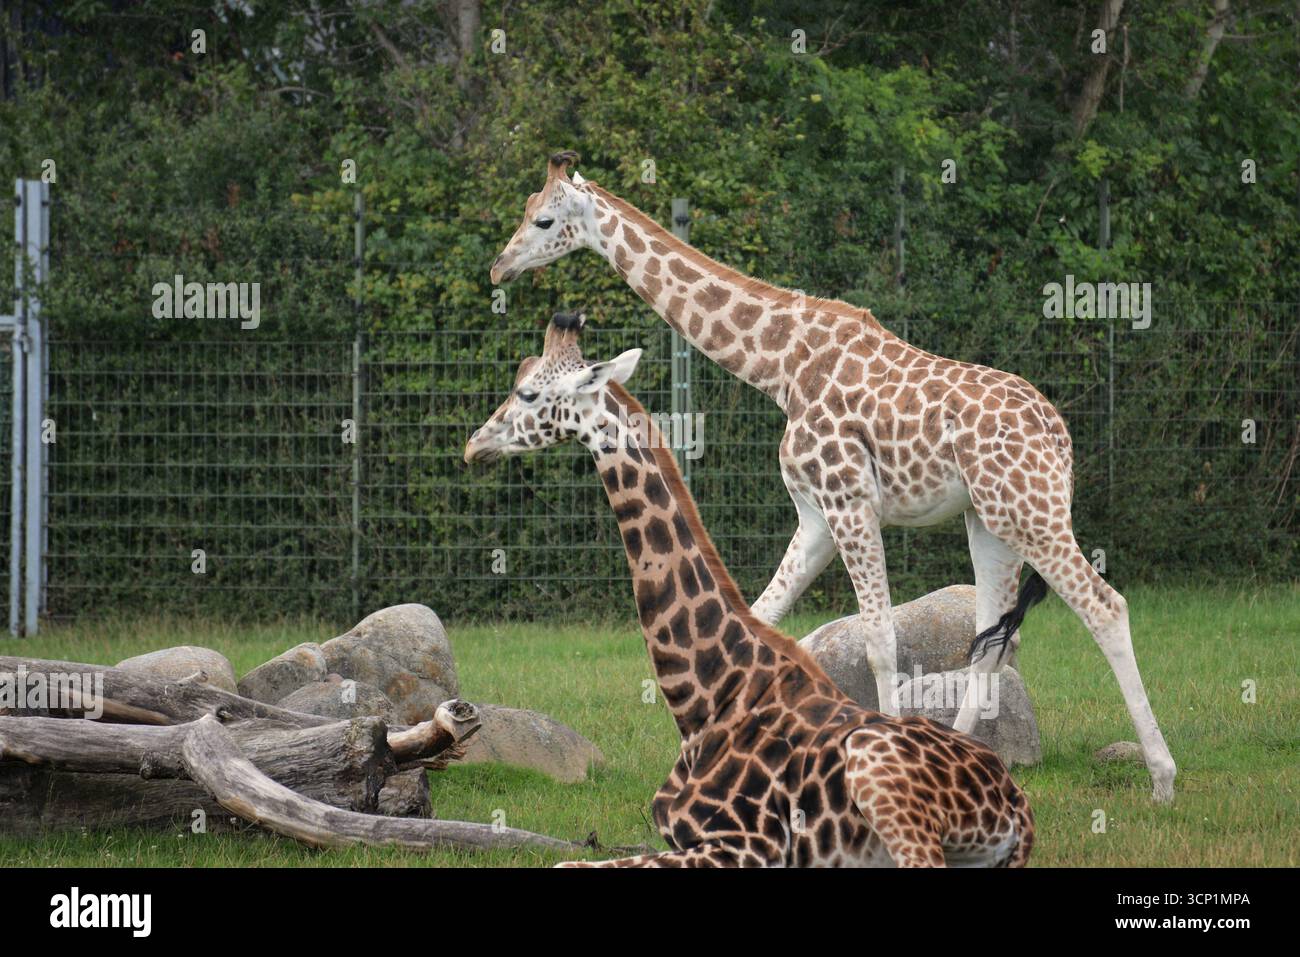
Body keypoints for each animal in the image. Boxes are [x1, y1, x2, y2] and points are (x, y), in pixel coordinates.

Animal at [488, 152, 1176, 804]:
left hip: (1031, 511)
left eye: (543, 220)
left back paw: (1162, 778)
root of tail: (1060, 436)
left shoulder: (850, 501)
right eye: (524, 210)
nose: (498, 268)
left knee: (1105, 607)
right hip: (990, 521)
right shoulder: (816, 515)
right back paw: (965, 761)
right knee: (991, 641)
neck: (780, 365)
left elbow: (880, 640)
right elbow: (763, 615)